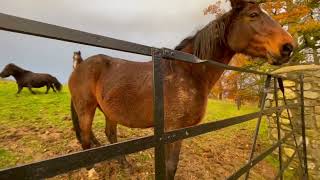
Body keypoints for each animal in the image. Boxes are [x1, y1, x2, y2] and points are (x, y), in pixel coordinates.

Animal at [69, 0, 296, 179]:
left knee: (110, 135)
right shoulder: (172, 129)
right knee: (86, 137)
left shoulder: (178, 131)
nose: (288, 47)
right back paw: (91, 170)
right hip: (86, 108)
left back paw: (125, 165)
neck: (187, 71)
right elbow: (170, 166)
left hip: (110, 111)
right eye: (253, 15)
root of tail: (79, 65)